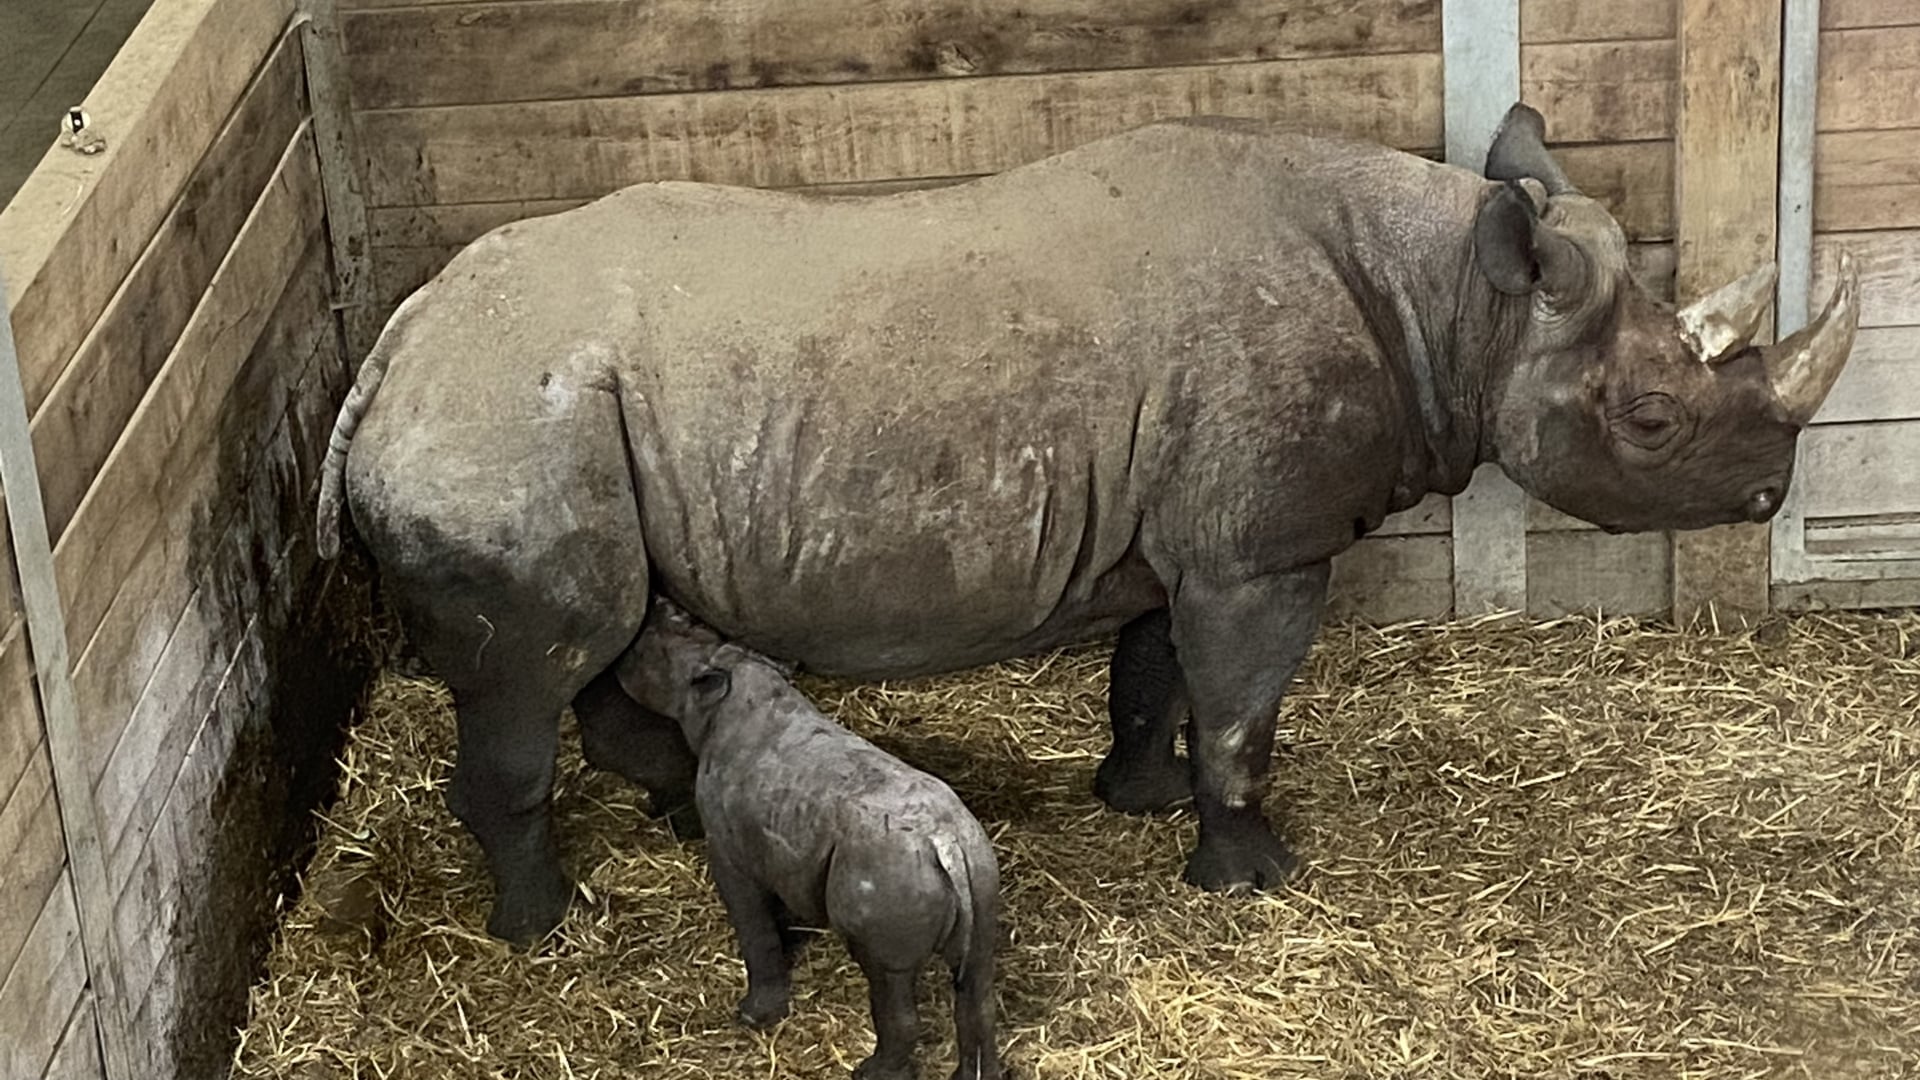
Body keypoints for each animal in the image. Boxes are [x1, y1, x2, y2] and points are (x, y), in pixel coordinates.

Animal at [314, 102, 1858, 941]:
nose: (1768, 496)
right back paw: (543, 926)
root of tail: (393, 347)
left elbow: (1157, 672)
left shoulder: (1190, 536)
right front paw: (1248, 877)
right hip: (508, 425)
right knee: (532, 666)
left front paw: (1141, 799)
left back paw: (671, 813)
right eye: (1649, 418)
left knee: (601, 633)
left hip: (540, 418)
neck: (1460, 297)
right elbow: (1243, 712)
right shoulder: (1261, 547)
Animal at [622, 599, 1006, 1068]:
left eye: (647, 655)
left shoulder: (730, 849)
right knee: (976, 979)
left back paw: (868, 1072)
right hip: (978, 867)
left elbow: (753, 927)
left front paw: (755, 1016)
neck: (727, 685)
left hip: (889, 875)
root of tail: (945, 844)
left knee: (885, 973)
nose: (651, 614)